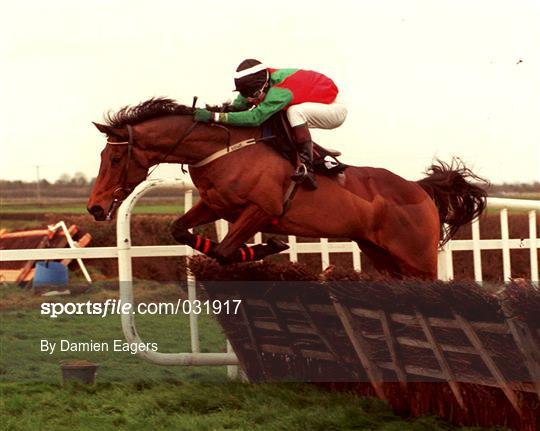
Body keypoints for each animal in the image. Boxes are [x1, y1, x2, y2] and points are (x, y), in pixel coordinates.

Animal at [87, 97, 486, 280]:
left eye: (116, 159)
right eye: (104, 156)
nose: (95, 207)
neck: (224, 149)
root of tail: (420, 189)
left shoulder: (261, 210)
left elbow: (226, 251)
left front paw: (267, 247)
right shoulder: (216, 205)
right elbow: (178, 230)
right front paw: (263, 248)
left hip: (418, 258)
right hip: (382, 254)